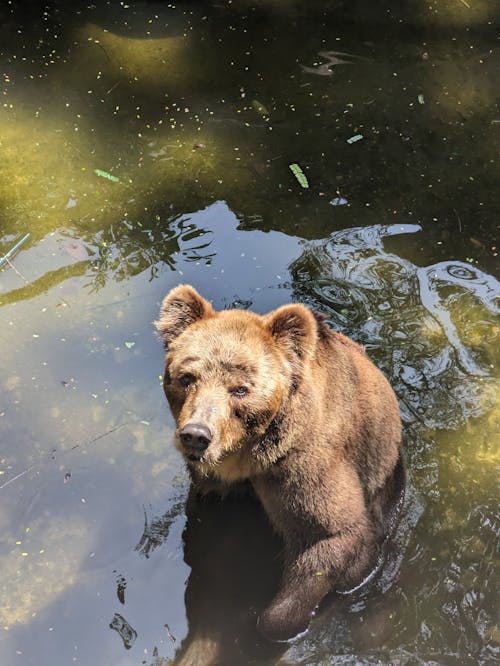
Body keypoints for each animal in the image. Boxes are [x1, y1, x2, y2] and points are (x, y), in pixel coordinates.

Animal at [154, 282, 404, 640]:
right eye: (187, 377)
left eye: (240, 389)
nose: (197, 435)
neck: (246, 457)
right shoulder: (215, 486)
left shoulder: (301, 467)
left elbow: (332, 534)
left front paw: (266, 622)